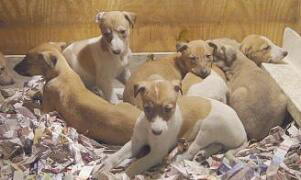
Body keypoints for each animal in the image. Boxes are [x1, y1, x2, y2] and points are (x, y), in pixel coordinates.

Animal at [13, 42, 141, 145]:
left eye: (27, 60)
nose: (13, 68)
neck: (62, 72)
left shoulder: (46, 108)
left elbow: (33, 105)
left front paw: (25, 102)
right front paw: (34, 94)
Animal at [96, 75, 246, 178]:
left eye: (168, 109)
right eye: (147, 109)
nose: (157, 132)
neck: (149, 129)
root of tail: (244, 133)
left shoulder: (157, 153)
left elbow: (136, 164)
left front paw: (120, 175)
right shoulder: (136, 142)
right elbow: (117, 155)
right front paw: (104, 167)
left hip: (208, 128)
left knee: (192, 150)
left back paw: (178, 159)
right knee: (217, 145)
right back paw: (202, 154)